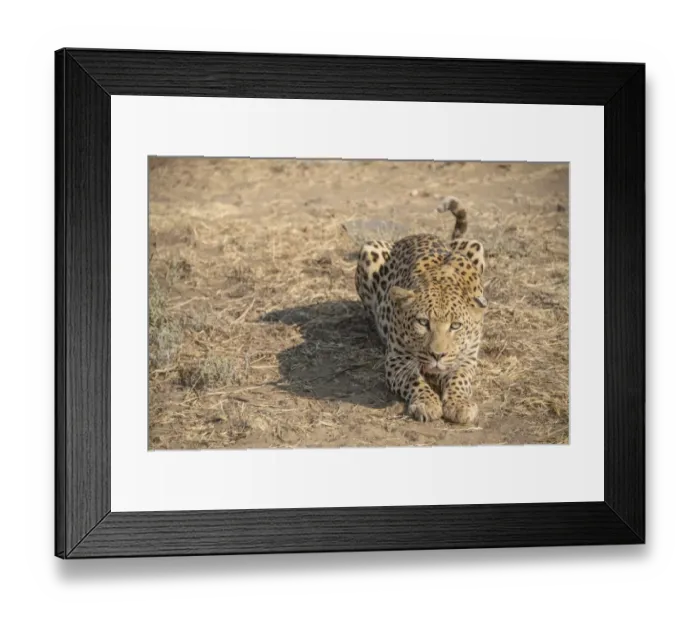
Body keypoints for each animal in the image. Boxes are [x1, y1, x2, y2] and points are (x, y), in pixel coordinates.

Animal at [354, 197, 487, 424]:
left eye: (456, 326)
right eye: (423, 322)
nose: (437, 355)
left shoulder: (468, 358)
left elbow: (460, 378)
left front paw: (459, 404)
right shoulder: (397, 359)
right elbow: (415, 381)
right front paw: (427, 403)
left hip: (475, 245)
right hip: (369, 250)